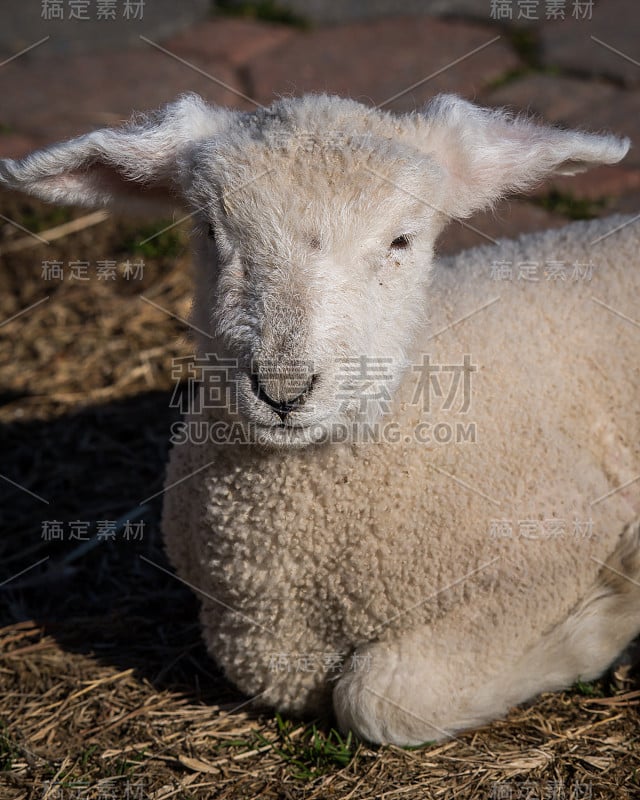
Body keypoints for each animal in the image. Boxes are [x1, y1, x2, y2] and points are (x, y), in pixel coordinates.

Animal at [1, 95, 640, 752]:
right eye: (211, 231)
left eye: (401, 240)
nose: (283, 390)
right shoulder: (252, 642)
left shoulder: (548, 550)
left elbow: (378, 698)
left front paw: (614, 611)